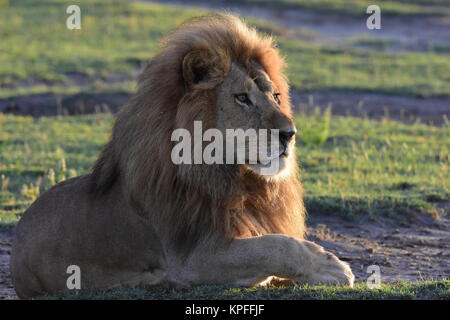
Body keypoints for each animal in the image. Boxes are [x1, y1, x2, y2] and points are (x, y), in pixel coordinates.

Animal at [10, 13, 354, 298]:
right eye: (242, 98)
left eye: (277, 96)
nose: (289, 133)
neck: (232, 178)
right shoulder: (192, 260)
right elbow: (274, 245)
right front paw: (331, 267)